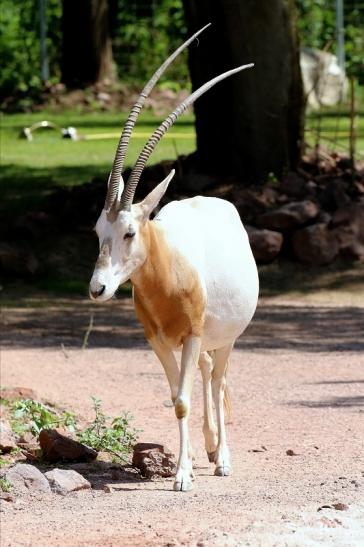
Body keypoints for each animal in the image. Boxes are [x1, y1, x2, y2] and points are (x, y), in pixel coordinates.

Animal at [89, 24, 258, 492]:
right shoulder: (159, 341)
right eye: (97, 232)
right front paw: (188, 463)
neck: (169, 272)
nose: (98, 288)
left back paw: (223, 459)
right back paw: (211, 448)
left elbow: (185, 398)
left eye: (129, 232)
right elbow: (176, 397)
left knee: (217, 379)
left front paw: (182, 476)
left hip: (224, 337)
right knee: (206, 373)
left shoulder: (194, 334)